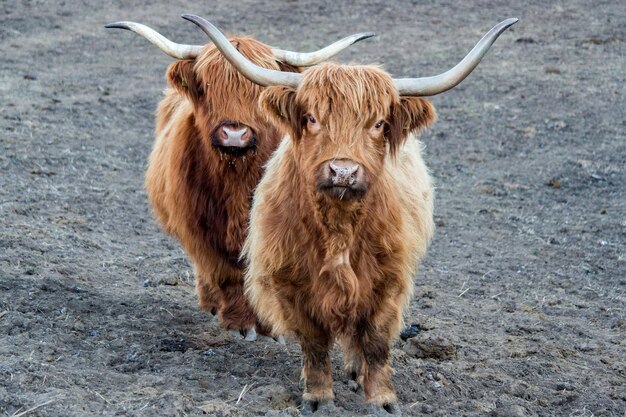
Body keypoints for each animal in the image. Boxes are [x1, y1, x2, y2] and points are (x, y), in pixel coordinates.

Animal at [105, 17, 372, 340]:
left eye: (256, 91)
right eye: (206, 86)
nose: (234, 133)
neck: (236, 175)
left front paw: (269, 325)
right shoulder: (201, 229)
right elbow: (225, 272)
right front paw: (239, 323)